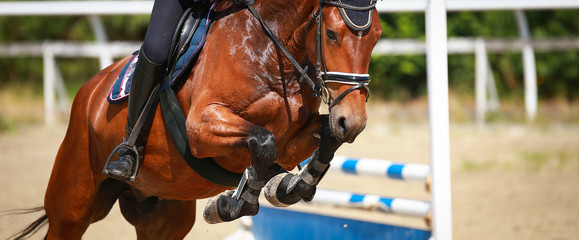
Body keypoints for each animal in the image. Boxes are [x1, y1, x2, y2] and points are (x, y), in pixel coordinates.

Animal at [13, 0, 382, 239]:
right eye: (331, 34)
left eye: (377, 36)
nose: (354, 120)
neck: (270, 50)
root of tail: (88, 92)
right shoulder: (202, 129)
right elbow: (263, 142)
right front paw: (231, 205)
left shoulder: (295, 140)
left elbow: (325, 138)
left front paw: (290, 186)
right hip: (71, 207)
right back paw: (124, 159)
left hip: (163, 216)